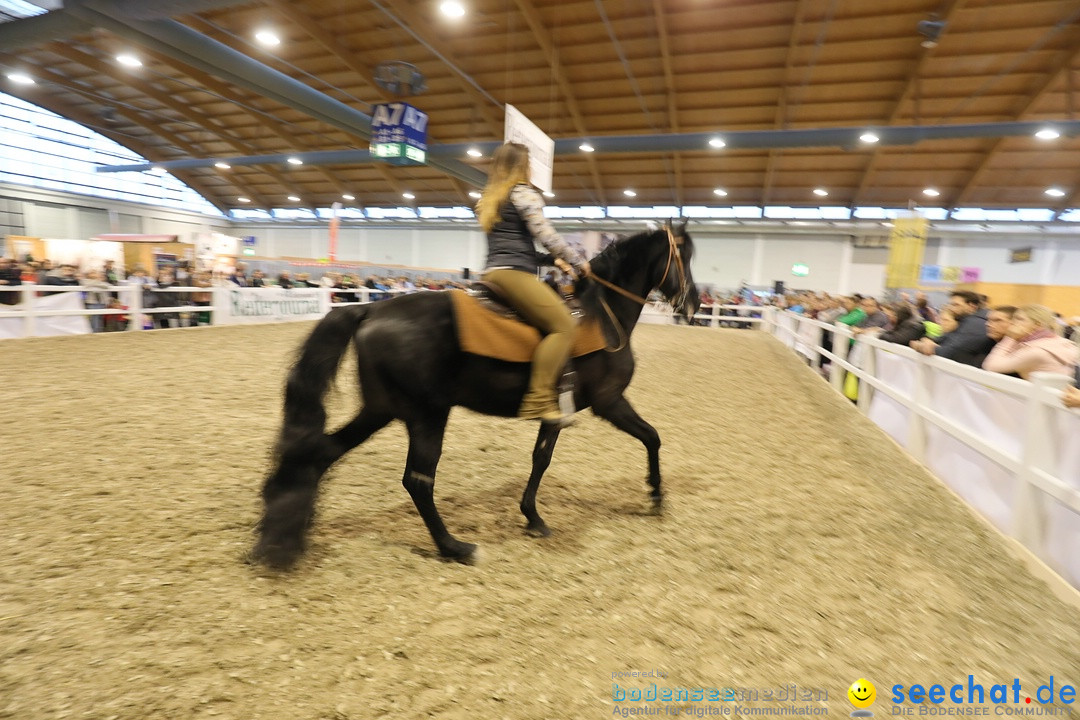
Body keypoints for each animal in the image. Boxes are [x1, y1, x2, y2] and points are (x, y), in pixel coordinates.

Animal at [257, 221, 704, 569]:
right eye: (684, 257)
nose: (695, 303)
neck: (602, 315)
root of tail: (372, 310)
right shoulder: (609, 402)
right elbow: (651, 437)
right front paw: (656, 495)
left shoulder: (557, 412)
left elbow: (541, 459)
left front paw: (533, 518)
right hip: (427, 415)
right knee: (417, 481)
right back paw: (454, 547)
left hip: (382, 410)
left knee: (322, 453)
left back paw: (292, 528)